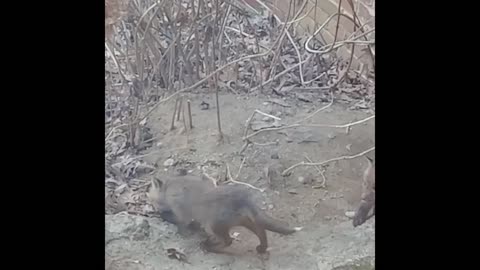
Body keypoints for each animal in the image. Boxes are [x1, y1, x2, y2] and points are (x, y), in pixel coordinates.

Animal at [148, 175, 302, 253]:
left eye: (151, 199)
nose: (151, 207)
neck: (169, 188)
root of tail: (242, 197)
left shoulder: (181, 213)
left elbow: (179, 222)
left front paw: (162, 216)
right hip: (243, 221)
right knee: (261, 231)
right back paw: (261, 248)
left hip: (213, 226)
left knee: (228, 241)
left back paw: (209, 247)